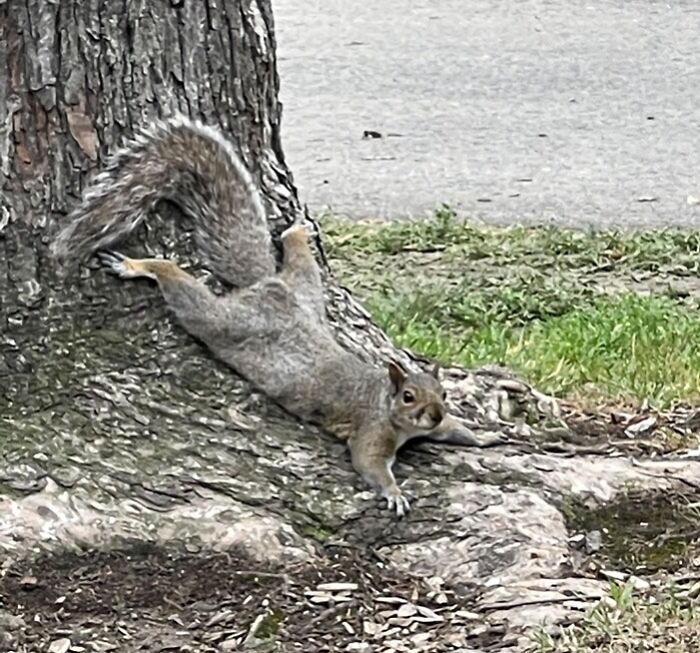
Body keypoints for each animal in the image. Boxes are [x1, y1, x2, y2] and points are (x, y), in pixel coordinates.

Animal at [53, 114, 504, 516]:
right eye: (409, 396)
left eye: (443, 395)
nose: (434, 412)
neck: (391, 409)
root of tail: (264, 287)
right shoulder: (371, 433)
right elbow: (369, 465)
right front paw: (394, 493)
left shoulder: (433, 426)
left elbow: (456, 431)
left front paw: (487, 436)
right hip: (219, 320)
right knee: (180, 285)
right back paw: (136, 266)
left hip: (307, 293)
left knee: (298, 259)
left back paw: (296, 230)